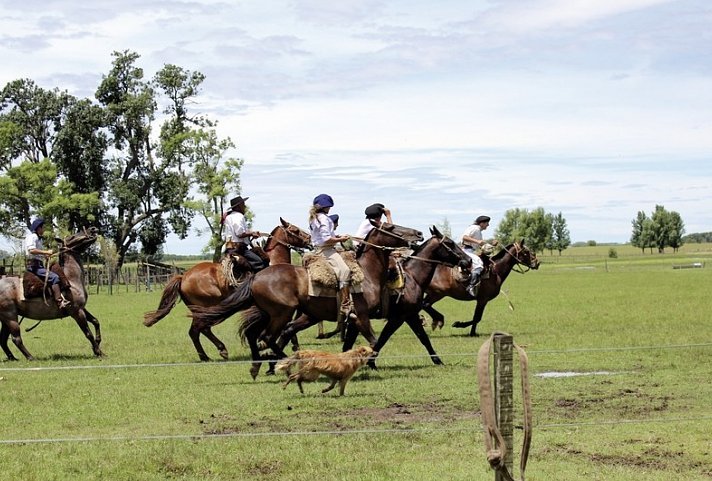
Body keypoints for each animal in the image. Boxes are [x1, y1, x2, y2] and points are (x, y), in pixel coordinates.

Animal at [0, 228, 102, 360]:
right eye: (72, 236)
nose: (93, 229)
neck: (71, 280)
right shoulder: (76, 312)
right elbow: (88, 333)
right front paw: (99, 352)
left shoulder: (81, 308)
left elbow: (95, 321)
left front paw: (97, 345)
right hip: (10, 316)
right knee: (16, 339)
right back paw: (30, 357)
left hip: (5, 319)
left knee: (3, 340)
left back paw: (13, 358)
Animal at [143, 218, 312, 360]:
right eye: (295, 230)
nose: (309, 238)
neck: (274, 263)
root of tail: (183, 277)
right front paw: (287, 344)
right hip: (206, 308)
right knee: (196, 330)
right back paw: (210, 355)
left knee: (201, 330)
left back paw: (215, 352)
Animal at [186, 222, 426, 378]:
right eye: (393, 228)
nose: (418, 233)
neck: (367, 274)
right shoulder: (361, 316)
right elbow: (374, 342)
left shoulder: (341, 318)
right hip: (280, 313)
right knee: (265, 336)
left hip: (270, 314)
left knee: (253, 334)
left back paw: (258, 364)